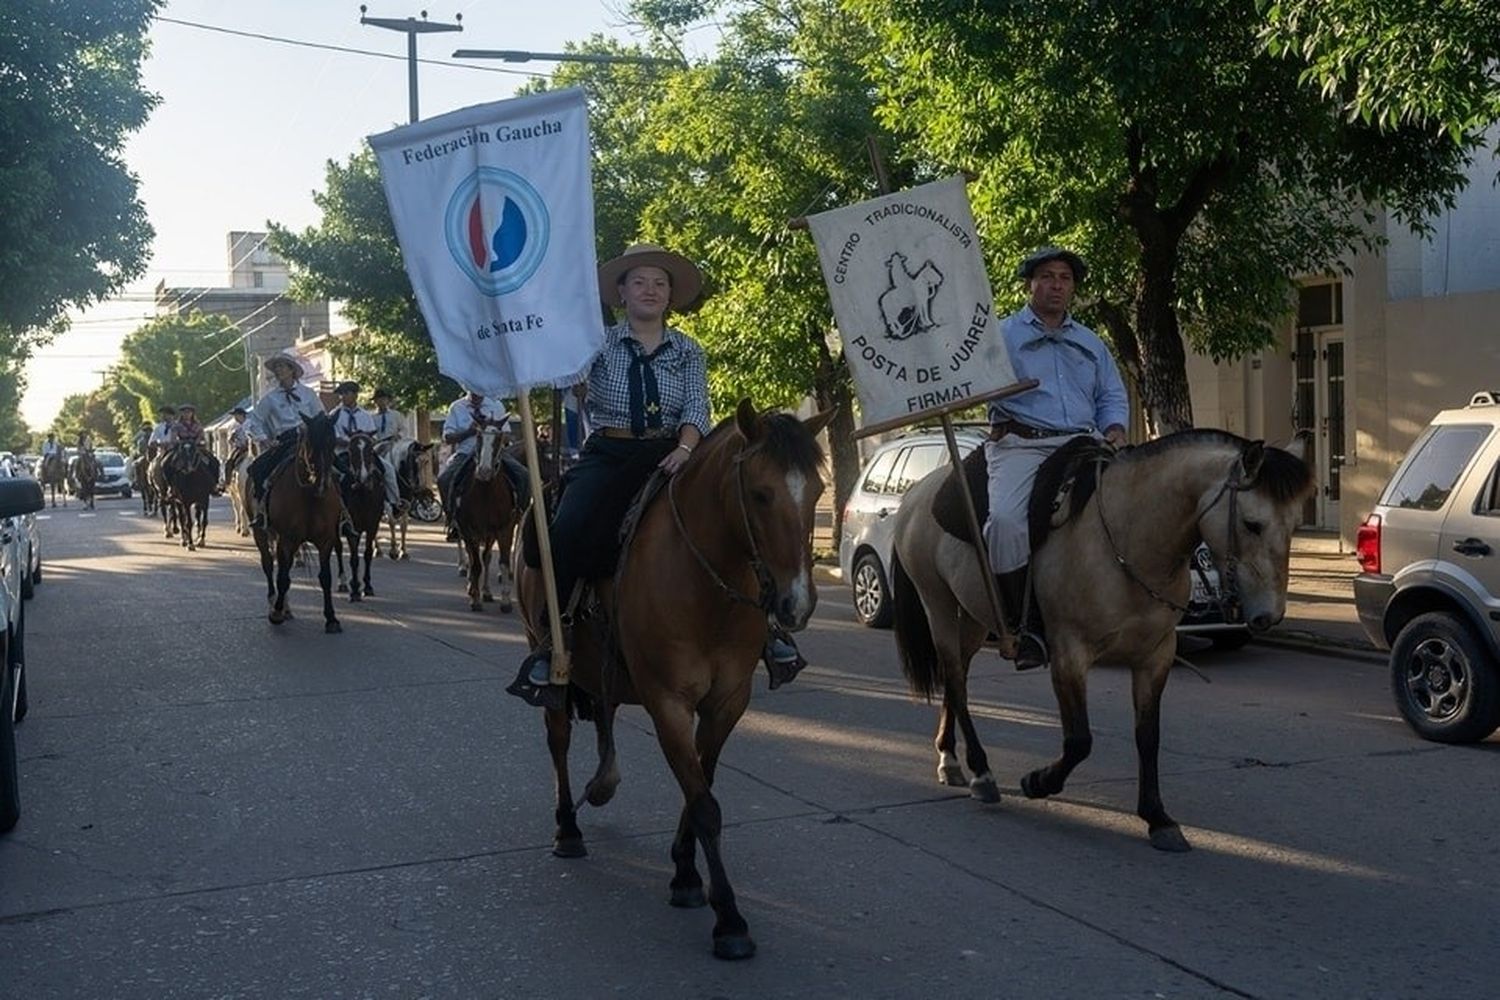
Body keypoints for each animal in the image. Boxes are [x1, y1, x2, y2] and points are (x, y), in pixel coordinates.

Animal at [253, 413, 343, 632]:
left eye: (333, 442)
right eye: (310, 443)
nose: (322, 484)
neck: (309, 496)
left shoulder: (326, 540)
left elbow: (325, 577)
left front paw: (331, 618)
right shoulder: (287, 539)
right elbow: (283, 578)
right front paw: (276, 614)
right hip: (262, 534)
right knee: (269, 566)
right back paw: (275, 603)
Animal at [337, 431, 387, 602]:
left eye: (370, 449)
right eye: (351, 449)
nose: (363, 478)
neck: (363, 492)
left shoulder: (373, 525)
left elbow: (367, 554)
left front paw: (367, 586)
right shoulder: (353, 527)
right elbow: (354, 558)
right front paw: (355, 591)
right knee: (338, 549)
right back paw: (344, 582)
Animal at [453, 422, 519, 611]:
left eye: (499, 439)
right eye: (478, 437)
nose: (484, 471)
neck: (486, 493)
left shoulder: (505, 528)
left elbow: (503, 562)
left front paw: (505, 600)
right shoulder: (468, 529)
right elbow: (475, 564)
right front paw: (475, 598)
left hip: (490, 534)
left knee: (487, 557)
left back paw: (487, 591)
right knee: (475, 557)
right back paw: (472, 586)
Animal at [519, 401, 840, 959]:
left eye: (819, 491)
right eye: (761, 493)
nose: (796, 605)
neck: (707, 586)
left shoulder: (727, 701)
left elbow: (700, 787)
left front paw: (687, 875)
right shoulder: (667, 701)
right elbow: (705, 803)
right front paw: (729, 919)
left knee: (603, 710)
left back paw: (603, 783)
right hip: (548, 653)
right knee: (557, 740)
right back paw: (568, 828)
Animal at [888, 431, 1314, 851]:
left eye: (1295, 524)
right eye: (1253, 524)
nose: (1269, 616)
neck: (1128, 541)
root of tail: (916, 492)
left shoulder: (1155, 656)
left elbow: (1148, 736)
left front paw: (1157, 817)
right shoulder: (1069, 654)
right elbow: (1079, 740)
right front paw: (1038, 781)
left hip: (976, 617)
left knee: (956, 675)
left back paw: (949, 757)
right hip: (938, 604)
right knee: (955, 680)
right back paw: (980, 771)